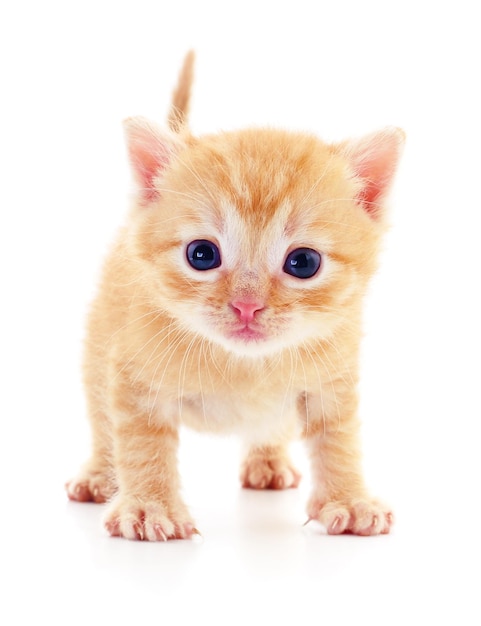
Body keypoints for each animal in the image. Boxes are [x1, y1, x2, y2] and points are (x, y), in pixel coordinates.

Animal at [65, 52, 404, 536]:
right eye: (202, 254)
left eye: (304, 262)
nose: (247, 306)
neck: (244, 365)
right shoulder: (133, 375)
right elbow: (141, 441)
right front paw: (150, 507)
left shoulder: (332, 377)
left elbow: (337, 437)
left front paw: (349, 498)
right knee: (101, 418)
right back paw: (99, 473)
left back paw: (268, 459)